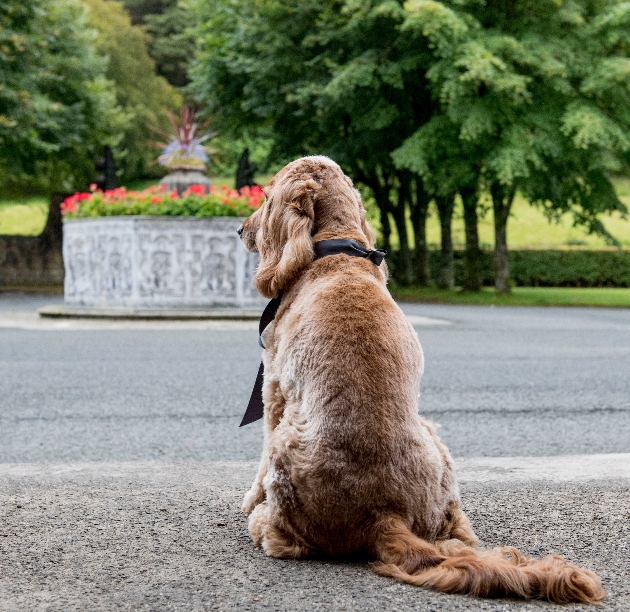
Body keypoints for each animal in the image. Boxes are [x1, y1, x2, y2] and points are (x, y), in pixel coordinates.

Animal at [238, 155, 608, 604]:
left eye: (266, 196)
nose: (239, 229)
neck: (336, 251)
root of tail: (384, 515)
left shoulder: (274, 387)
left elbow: (258, 462)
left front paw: (249, 500)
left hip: (287, 446)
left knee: (284, 536)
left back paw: (262, 521)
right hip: (436, 444)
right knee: (457, 532)